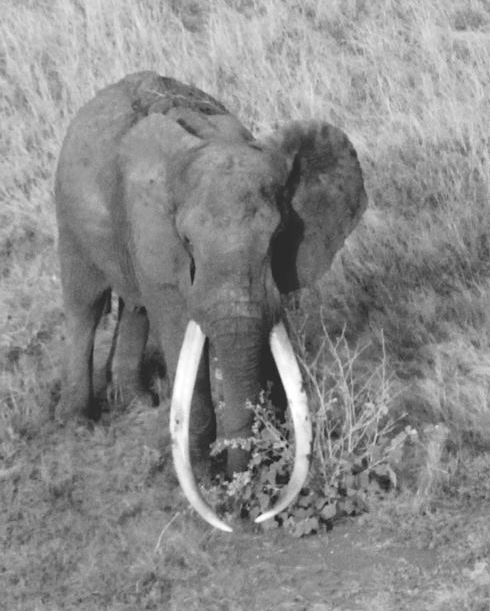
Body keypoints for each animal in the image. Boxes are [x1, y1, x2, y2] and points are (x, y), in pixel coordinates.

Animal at [55, 70, 366, 532]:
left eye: (277, 236)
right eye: (187, 241)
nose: (244, 512)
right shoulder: (157, 234)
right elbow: (178, 329)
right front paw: (208, 482)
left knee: (135, 305)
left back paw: (139, 404)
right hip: (70, 213)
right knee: (85, 305)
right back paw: (79, 423)